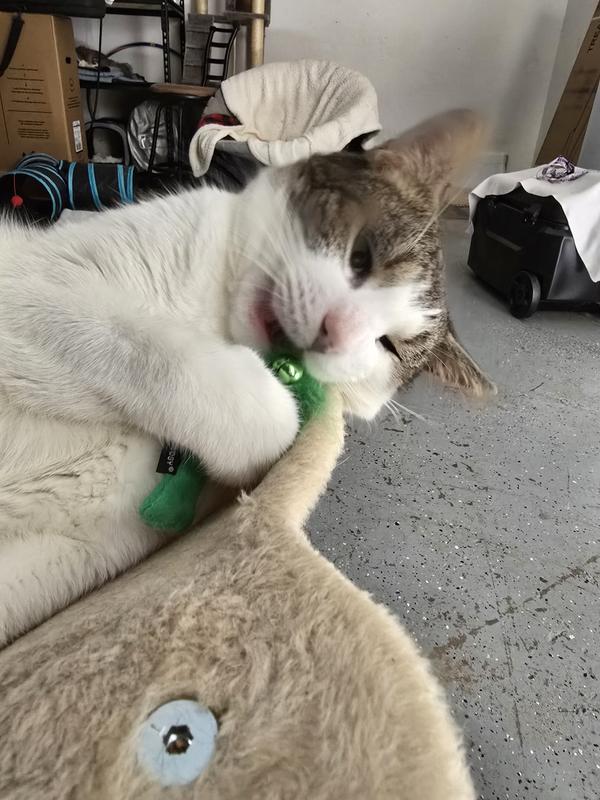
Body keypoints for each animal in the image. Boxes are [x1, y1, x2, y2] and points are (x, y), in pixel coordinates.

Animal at [0, 110, 493, 647]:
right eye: (361, 257)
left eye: (389, 346)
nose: (335, 330)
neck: (212, 322)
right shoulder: (31, 285)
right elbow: (153, 351)